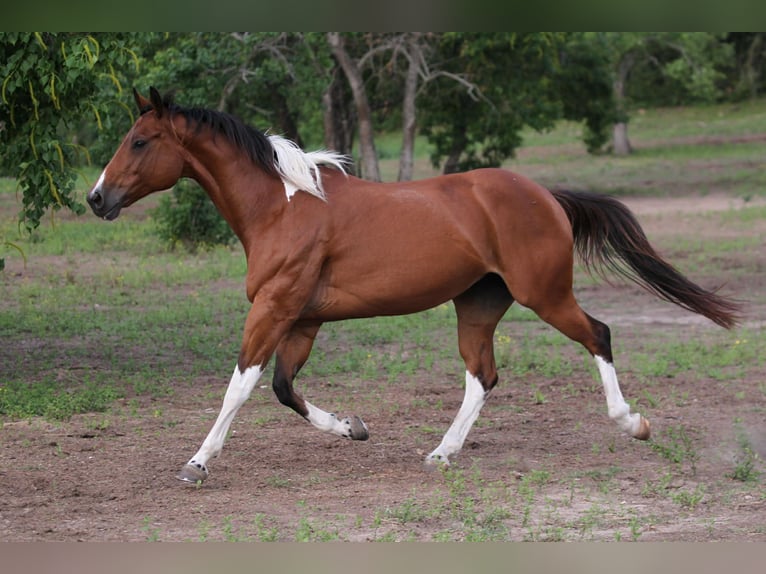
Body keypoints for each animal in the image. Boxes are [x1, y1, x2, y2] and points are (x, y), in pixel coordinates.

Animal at [87, 88, 741, 484]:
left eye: (139, 141)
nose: (96, 198)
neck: (282, 206)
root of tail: (546, 195)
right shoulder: (303, 319)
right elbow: (283, 388)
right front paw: (352, 427)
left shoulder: (274, 308)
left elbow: (240, 387)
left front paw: (197, 462)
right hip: (478, 305)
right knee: (483, 376)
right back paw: (442, 452)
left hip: (546, 295)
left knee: (598, 335)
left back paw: (633, 423)